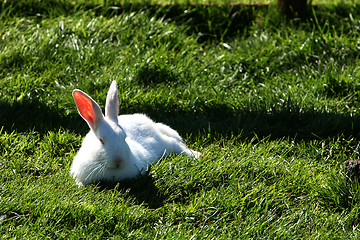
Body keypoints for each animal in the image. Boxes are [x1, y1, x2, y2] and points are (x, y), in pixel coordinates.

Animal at [69, 80, 200, 186]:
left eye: (124, 137)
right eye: (101, 140)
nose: (119, 160)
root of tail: (150, 123)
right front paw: (80, 185)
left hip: (163, 144)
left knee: (177, 144)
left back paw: (197, 155)